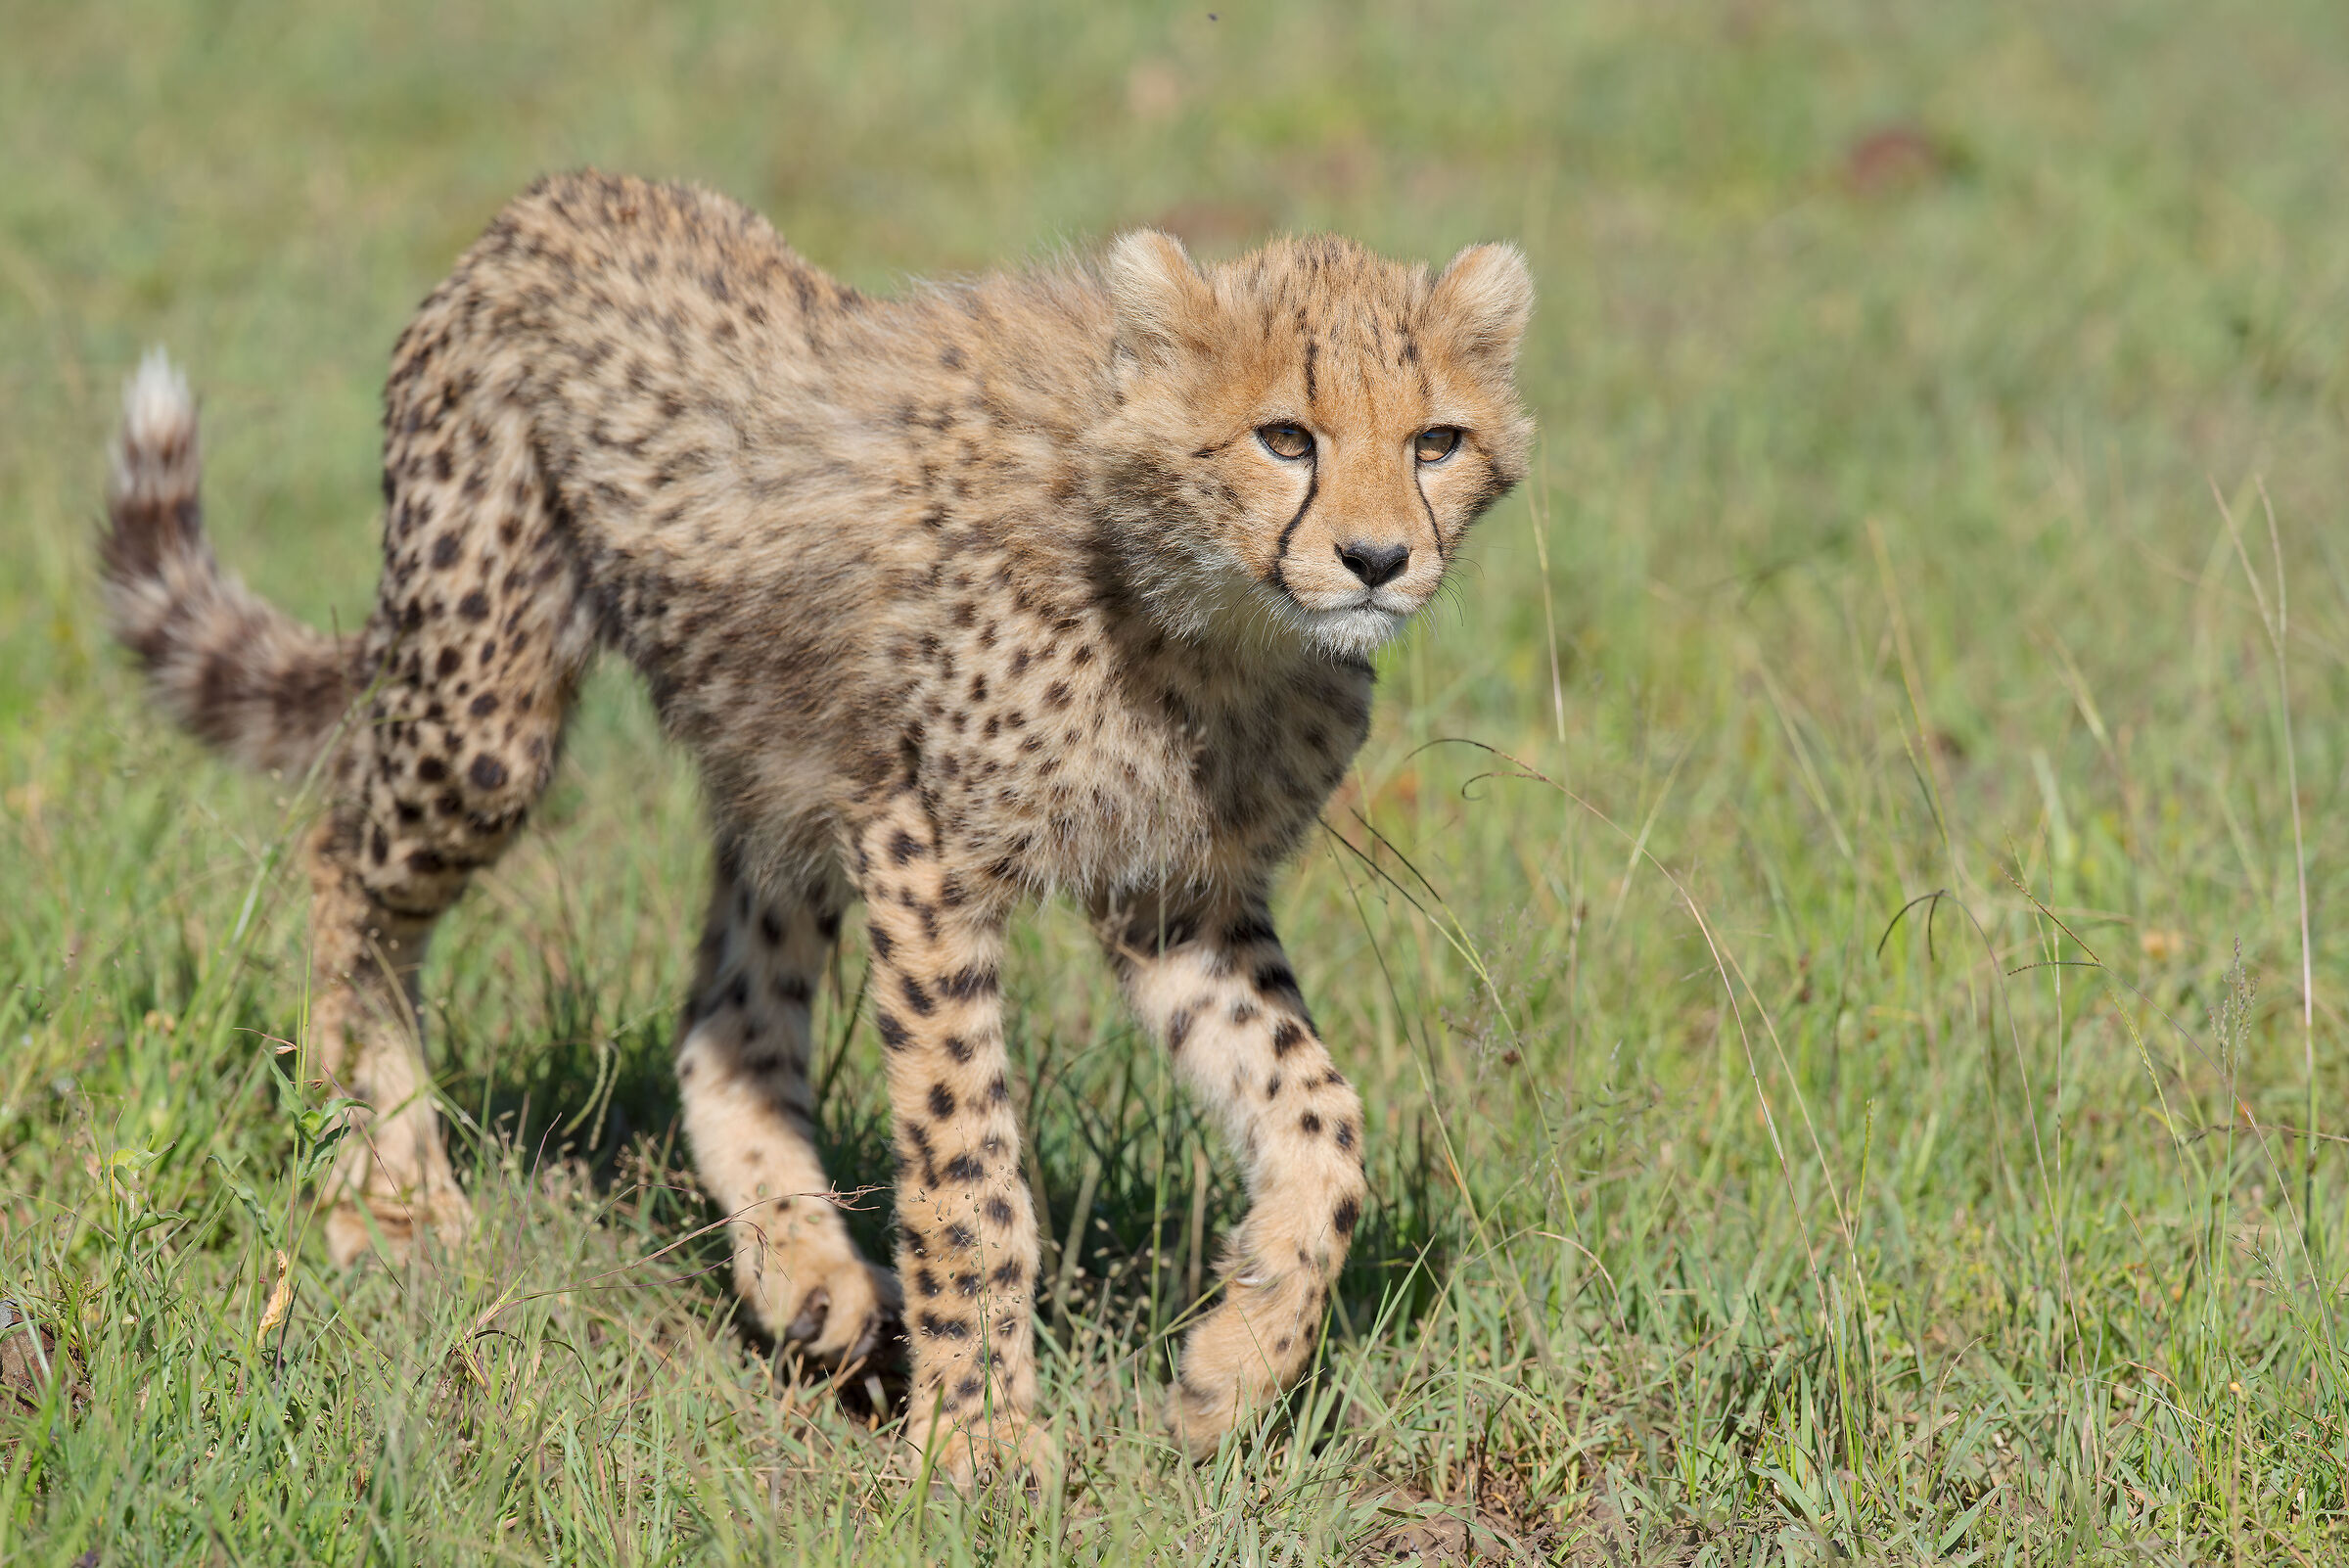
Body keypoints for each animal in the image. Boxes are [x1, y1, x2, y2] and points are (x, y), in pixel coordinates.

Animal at [100, 169, 1534, 1484]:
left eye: (1436, 442)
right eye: (1285, 436)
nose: (1376, 560)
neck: (1210, 619)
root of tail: (566, 194)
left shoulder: (1174, 897)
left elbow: (1321, 1120)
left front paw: (1232, 1373)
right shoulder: (931, 847)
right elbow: (969, 1170)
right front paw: (982, 1440)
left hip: (783, 766)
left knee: (725, 1020)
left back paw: (804, 1270)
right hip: (485, 708)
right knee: (343, 860)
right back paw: (382, 1185)